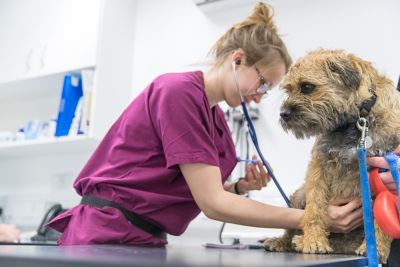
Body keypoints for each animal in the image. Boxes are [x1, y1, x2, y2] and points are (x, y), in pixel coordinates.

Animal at [262, 49, 396, 264]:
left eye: (307, 87)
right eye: (288, 90)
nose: (283, 114)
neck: (357, 120)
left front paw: (377, 249)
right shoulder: (320, 166)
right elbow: (315, 207)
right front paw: (314, 241)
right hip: (299, 194)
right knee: (293, 226)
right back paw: (286, 241)